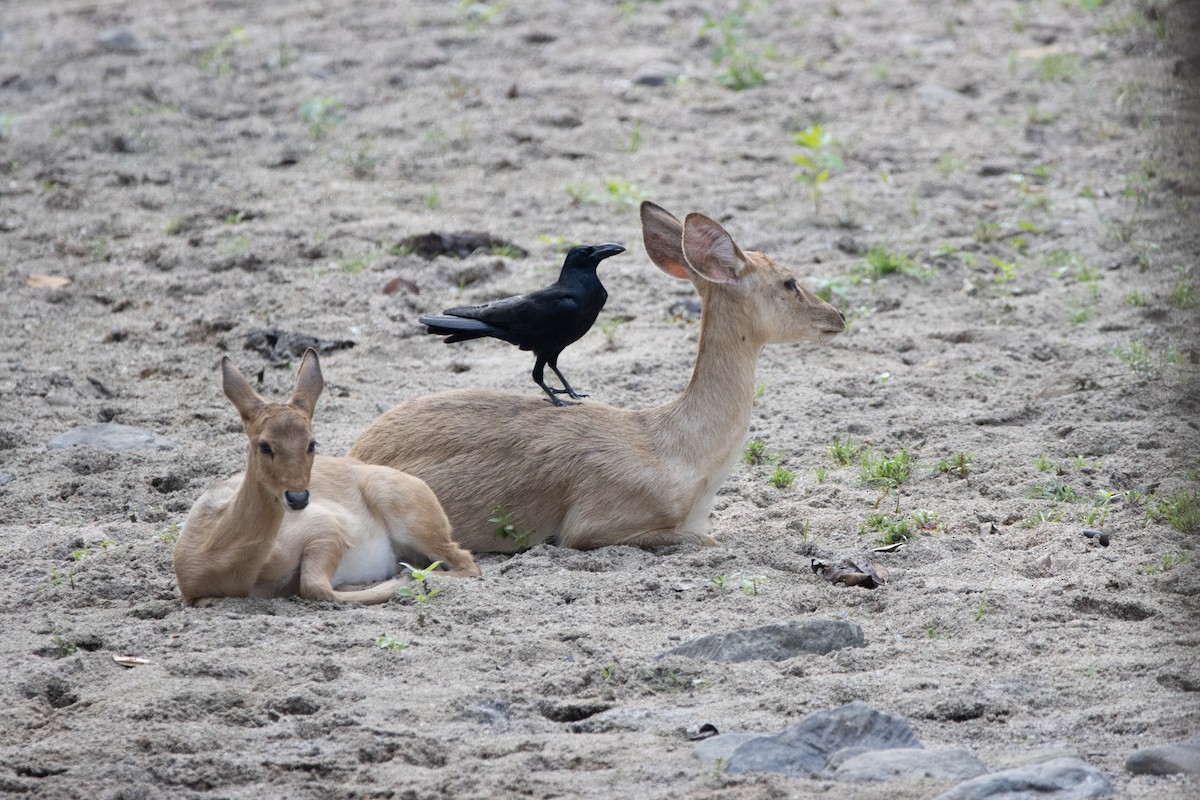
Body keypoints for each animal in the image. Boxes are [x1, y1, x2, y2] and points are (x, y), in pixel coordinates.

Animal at [172, 350, 477, 606]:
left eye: (311, 443)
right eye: (264, 445)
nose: (297, 498)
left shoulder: (325, 529)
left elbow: (313, 586)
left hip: (415, 526)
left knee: (466, 562)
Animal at [350, 200, 844, 551]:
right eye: (789, 282)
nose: (837, 316)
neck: (682, 454)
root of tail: (356, 451)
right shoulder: (592, 525)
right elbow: (703, 538)